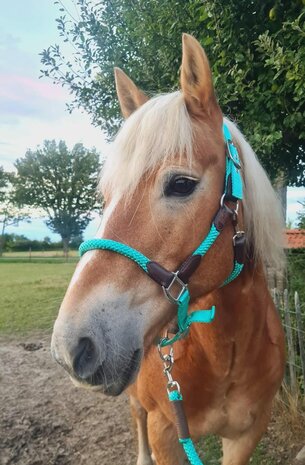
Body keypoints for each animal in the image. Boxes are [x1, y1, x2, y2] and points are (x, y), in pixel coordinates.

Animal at [50, 33, 284, 464]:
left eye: (180, 184)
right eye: (106, 197)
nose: (70, 346)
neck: (227, 353)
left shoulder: (247, 434)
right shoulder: (165, 430)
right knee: (135, 415)